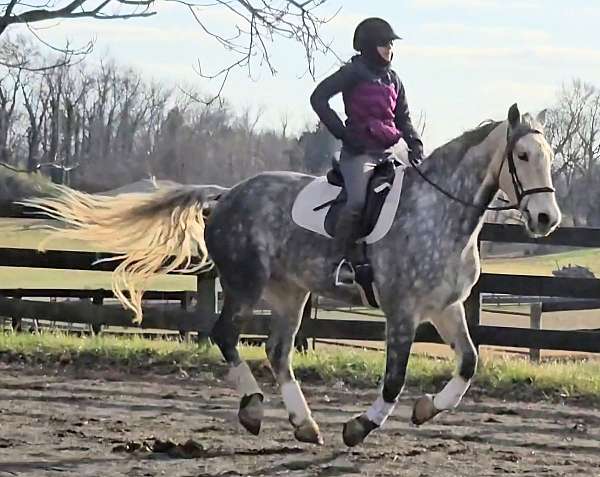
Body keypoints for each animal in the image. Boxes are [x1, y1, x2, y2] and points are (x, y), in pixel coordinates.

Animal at [22, 103, 556, 446]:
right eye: (522, 156)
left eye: (550, 157)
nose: (546, 219)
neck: (439, 213)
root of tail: (227, 194)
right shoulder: (402, 311)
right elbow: (393, 379)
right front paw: (359, 427)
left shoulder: (445, 309)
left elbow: (468, 363)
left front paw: (426, 410)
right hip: (246, 284)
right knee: (225, 335)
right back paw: (255, 408)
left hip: (289, 294)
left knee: (278, 352)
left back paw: (304, 424)